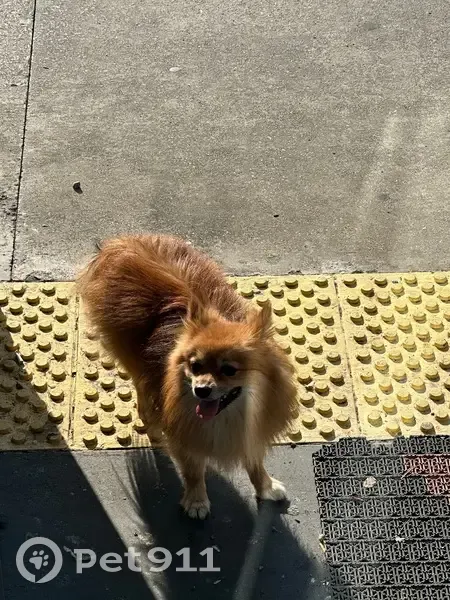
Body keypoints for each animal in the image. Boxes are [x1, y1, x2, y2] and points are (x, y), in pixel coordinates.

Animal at [77, 234, 298, 518]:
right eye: (195, 366)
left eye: (229, 370)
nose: (200, 390)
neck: (230, 416)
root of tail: (120, 243)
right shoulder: (186, 438)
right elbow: (193, 471)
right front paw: (196, 501)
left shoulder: (252, 432)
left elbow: (255, 463)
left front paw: (265, 487)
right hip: (132, 359)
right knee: (142, 387)